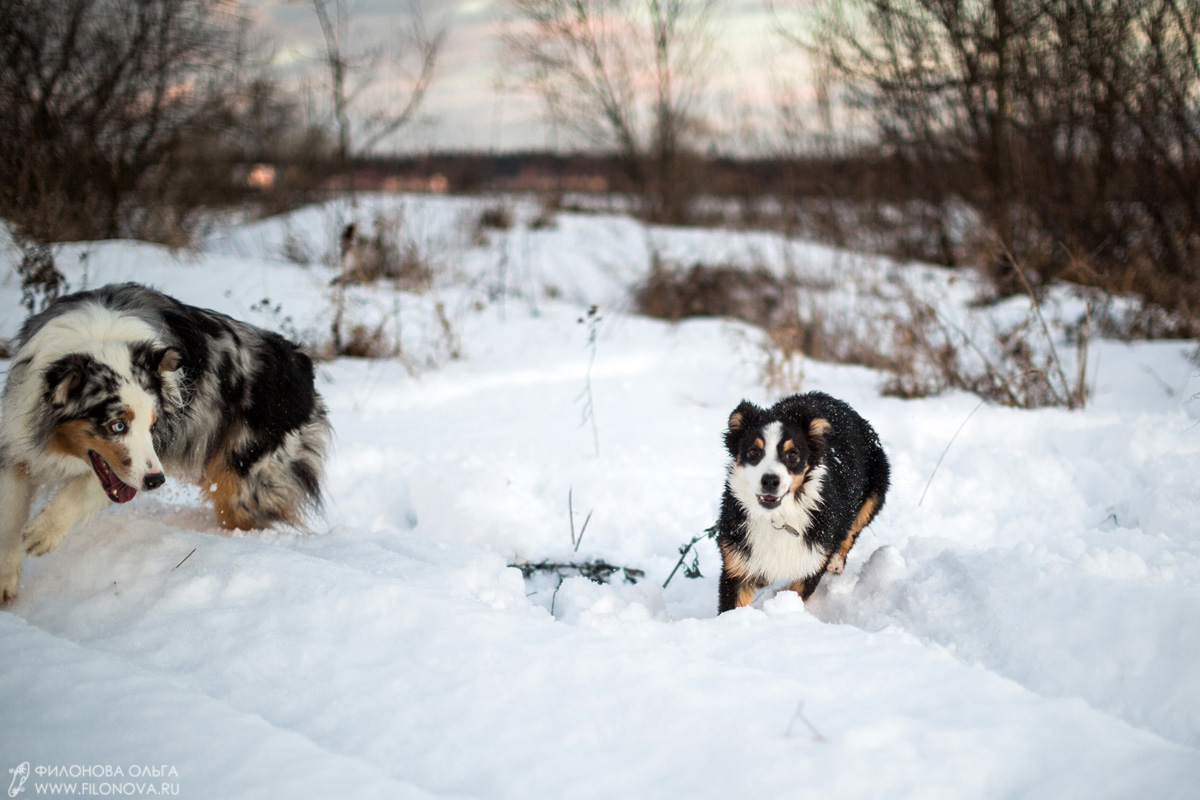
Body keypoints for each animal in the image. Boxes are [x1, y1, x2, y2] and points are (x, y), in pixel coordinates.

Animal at [710, 393, 892, 614]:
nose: (770, 480)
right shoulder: (737, 561)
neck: (777, 517)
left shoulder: (812, 560)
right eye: (754, 452)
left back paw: (836, 562)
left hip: (876, 488)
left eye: (793, 454)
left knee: (852, 528)